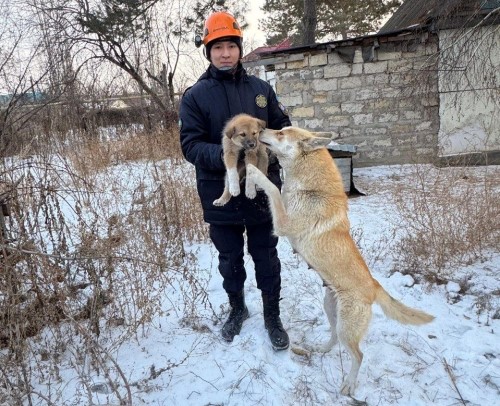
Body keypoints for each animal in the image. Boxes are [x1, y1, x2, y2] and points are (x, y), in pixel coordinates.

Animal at [246, 126, 434, 396]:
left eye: (281, 133)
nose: (260, 128)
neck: (309, 187)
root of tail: (374, 285)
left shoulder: (282, 224)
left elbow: (271, 187)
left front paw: (253, 172)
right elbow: (275, 189)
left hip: (347, 328)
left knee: (358, 355)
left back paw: (348, 385)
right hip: (330, 308)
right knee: (334, 338)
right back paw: (320, 349)